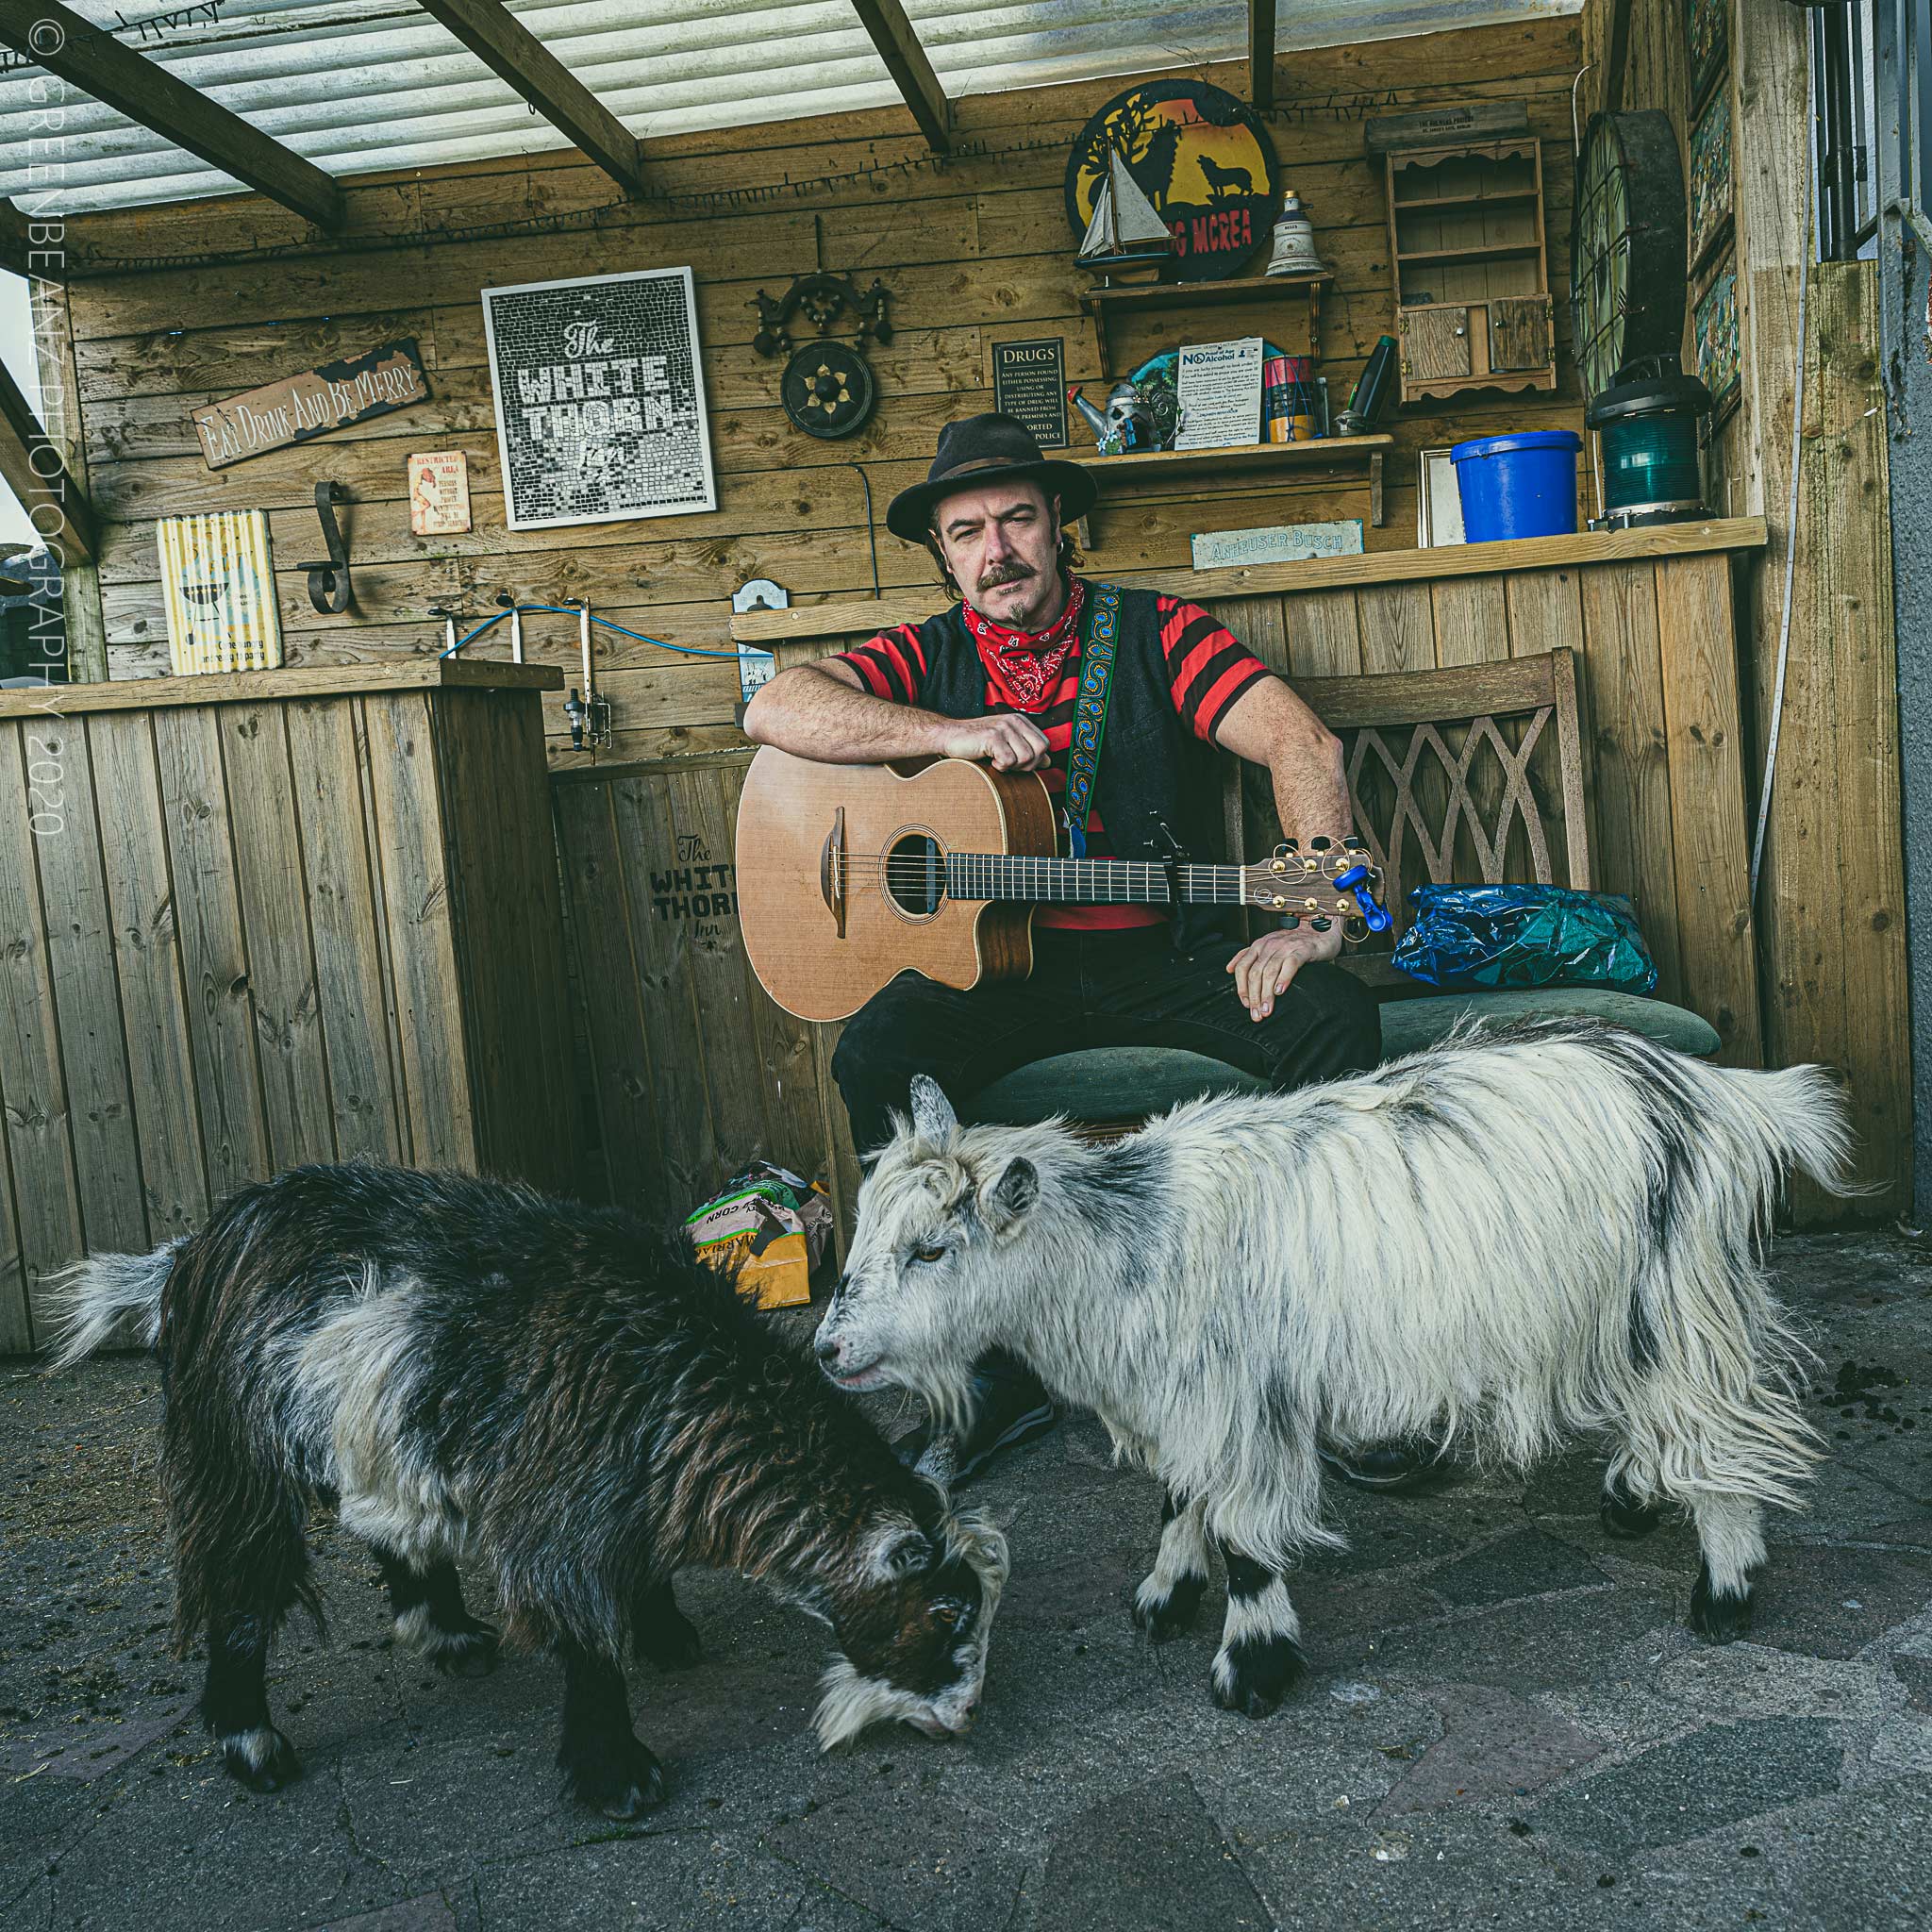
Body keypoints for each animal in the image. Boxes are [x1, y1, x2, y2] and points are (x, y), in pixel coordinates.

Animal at [45, 1158, 1012, 1807]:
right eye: (945, 1614)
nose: (968, 1717)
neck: (675, 1379)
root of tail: (195, 1245)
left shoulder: (620, 1492)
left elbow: (639, 1569)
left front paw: (664, 1631)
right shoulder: (558, 1515)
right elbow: (584, 1638)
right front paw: (616, 1774)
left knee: (384, 1522)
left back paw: (443, 1630)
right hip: (235, 1450)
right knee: (241, 1577)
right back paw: (250, 1740)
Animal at [808, 1020, 1846, 1715]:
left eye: (932, 1249)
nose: (828, 1349)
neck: (1128, 1246)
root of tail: (1719, 1094)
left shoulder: (1239, 1405)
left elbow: (1243, 1542)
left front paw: (1250, 1670)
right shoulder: (1191, 1400)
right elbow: (1178, 1500)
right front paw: (1163, 1597)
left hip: (1676, 1296)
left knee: (1715, 1432)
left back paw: (1723, 1590)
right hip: (1622, 1307)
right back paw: (1632, 1494)